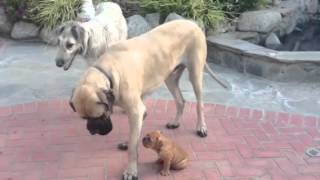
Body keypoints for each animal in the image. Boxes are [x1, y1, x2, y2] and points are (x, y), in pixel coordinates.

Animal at [70, 19, 228, 179]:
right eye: (84, 118)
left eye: (101, 116)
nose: (92, 131)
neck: (108, 71)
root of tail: (193, 23)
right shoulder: (138, 111)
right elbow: (134, 136)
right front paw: (128, 143)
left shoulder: (136, 111)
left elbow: (133, 146)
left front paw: (131, 171)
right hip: (170, 77)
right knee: (180, 101)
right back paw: (175, 122)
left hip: (195, 74)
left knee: (199, 104)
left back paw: (201, 127)